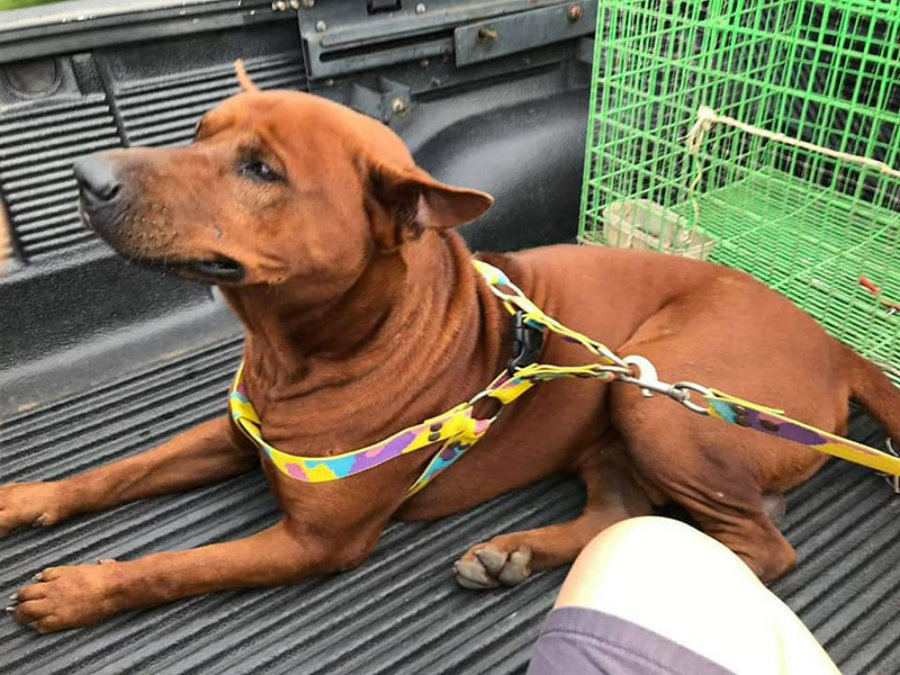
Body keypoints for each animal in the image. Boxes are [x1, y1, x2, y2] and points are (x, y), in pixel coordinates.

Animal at [3, 63, 899, 633]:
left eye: (260, 170)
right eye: (197, 132)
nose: (87, 177)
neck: (301, 352)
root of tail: (836, 344)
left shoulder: (313, 543)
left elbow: (179, 563)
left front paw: (82, 589)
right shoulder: (234, 433)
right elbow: (118, 470)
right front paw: (30, 497)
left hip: (656, 398)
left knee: (762, 546)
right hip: (621, 414)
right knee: (619, 509)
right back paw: (515, 553)